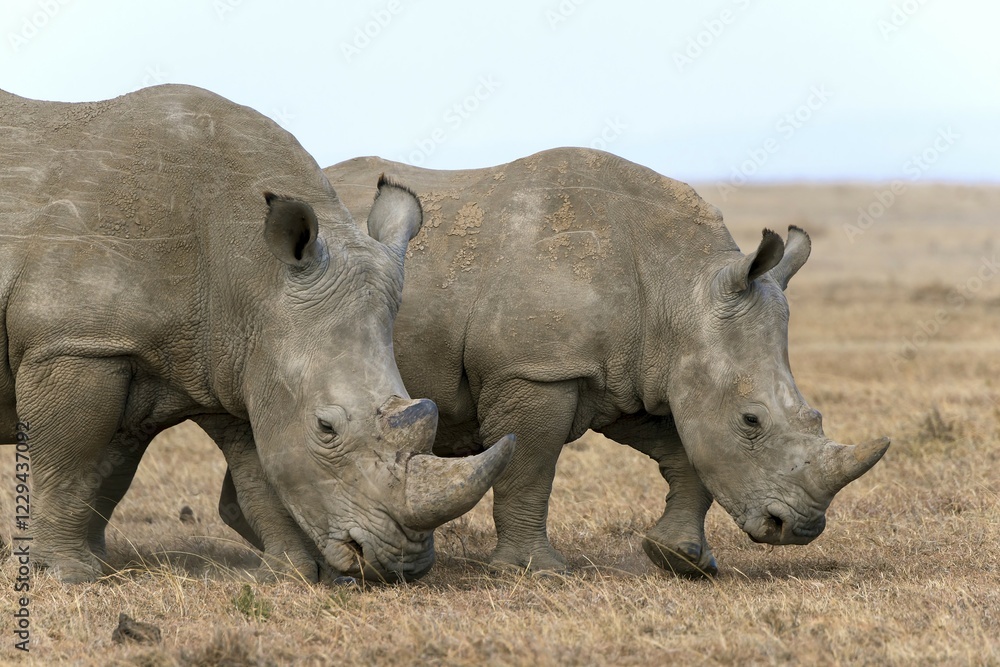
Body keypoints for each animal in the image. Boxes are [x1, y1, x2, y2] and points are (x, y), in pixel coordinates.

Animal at [0, 84, 513, 584]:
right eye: (326, 427)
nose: (400, 567)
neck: (252, 272)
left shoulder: (237, 356)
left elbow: (260, 473)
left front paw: (289, 574)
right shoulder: (75, 343)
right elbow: (70, 463)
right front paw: (67, 576)